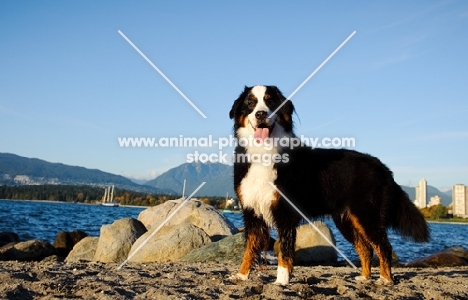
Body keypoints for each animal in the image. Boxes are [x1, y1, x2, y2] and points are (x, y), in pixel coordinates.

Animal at [229, 85, 430, 286]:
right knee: (366, 248)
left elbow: (285, 252)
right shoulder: (252, 211)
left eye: (270, 101)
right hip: (347, 221)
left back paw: (385, 280)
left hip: (367, 215)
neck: (263, 151)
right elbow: (249, 249)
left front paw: (281, 281)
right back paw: (364, 278)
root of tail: (382, 167)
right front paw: (241, 275)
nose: (261, 114)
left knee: (384, 247)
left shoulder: (285, 213)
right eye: (250, 102)